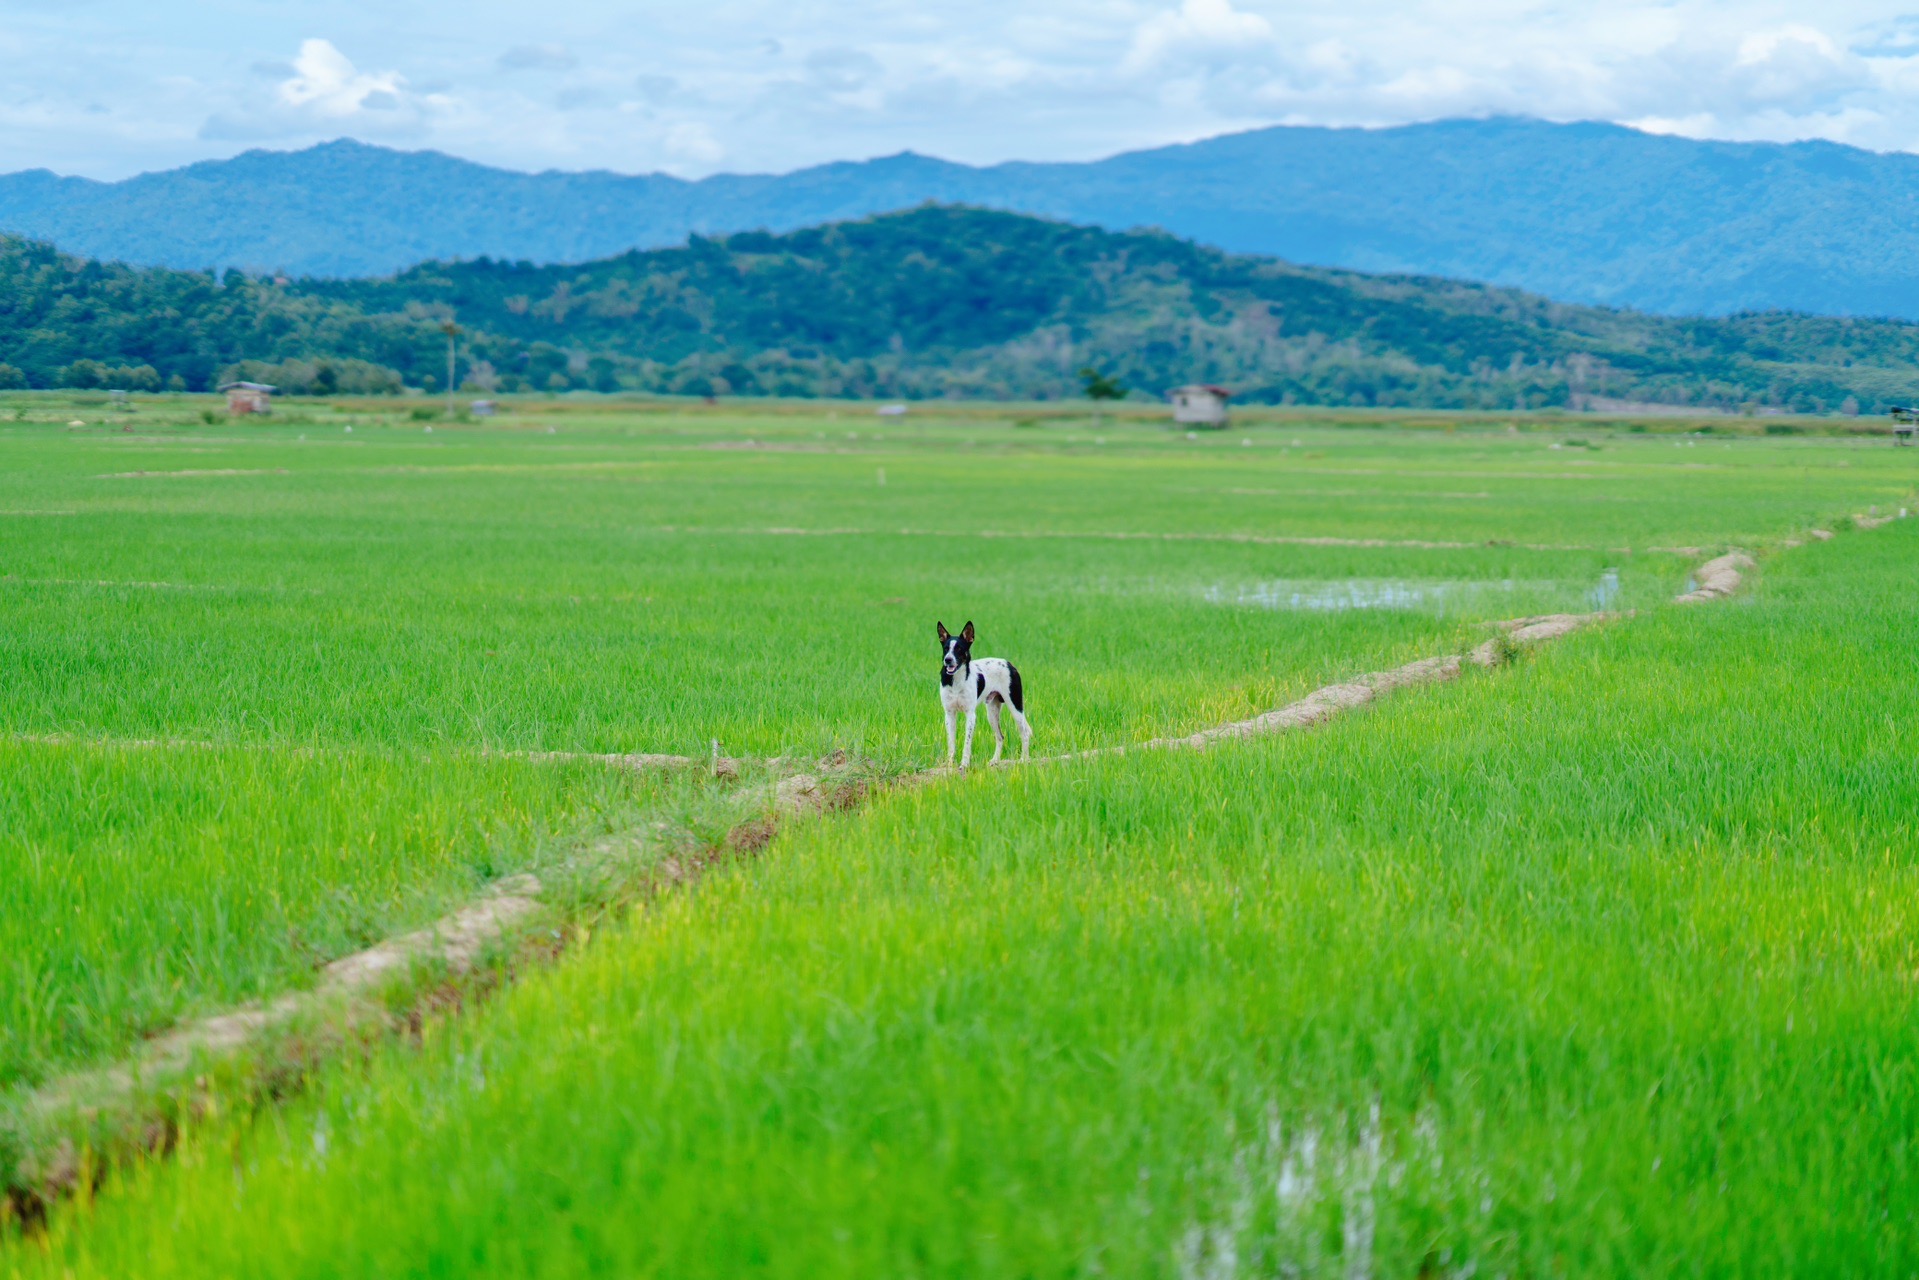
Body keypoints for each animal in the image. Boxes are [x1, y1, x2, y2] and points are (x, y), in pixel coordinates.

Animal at [932, 621, 1028, 771]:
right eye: (946, 648)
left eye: (959, 649)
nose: (948, 660)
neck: (956, 681)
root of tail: (1009, 664)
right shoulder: (949, 714)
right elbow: (951, 743)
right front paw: (949, 764)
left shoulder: (970, 715)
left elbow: (966, 743)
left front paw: (964, 764)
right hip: (992, 713)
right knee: (1000, 737)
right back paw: (995, 761)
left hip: (1015, 706)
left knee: (1024, 733)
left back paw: (1024, 759)